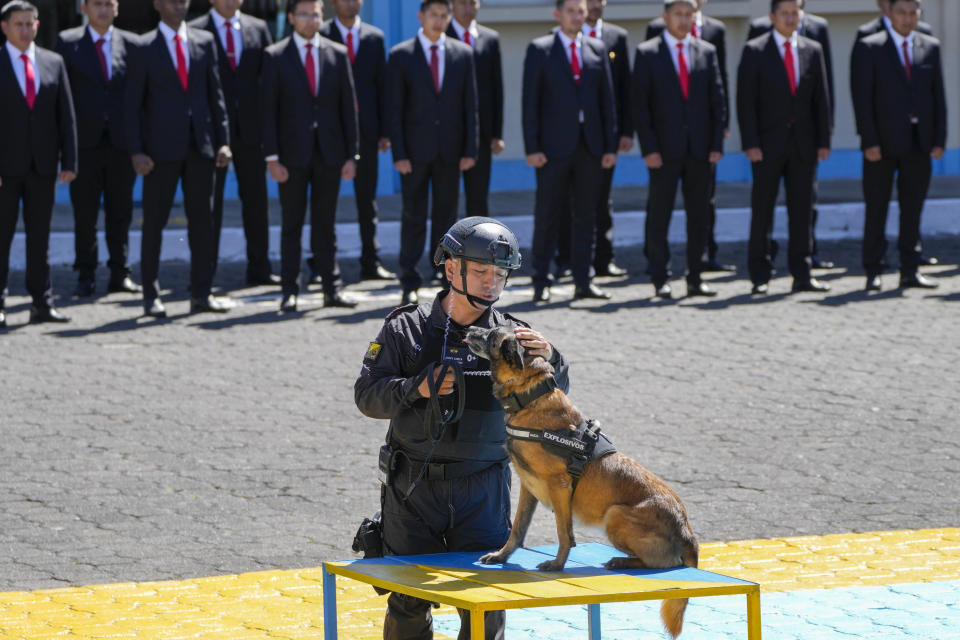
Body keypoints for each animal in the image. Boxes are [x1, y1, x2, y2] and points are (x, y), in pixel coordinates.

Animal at [464, 328, 696, 636]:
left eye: (492, 334)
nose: (469, 330)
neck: (530, 396)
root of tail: (686, 530)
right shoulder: (528, 488)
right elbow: (517, 529)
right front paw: (502, 556)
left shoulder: (559, 486)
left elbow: (564, 533)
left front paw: (557, 564)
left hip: (615, 515)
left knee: (662, 562)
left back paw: (621, 560)